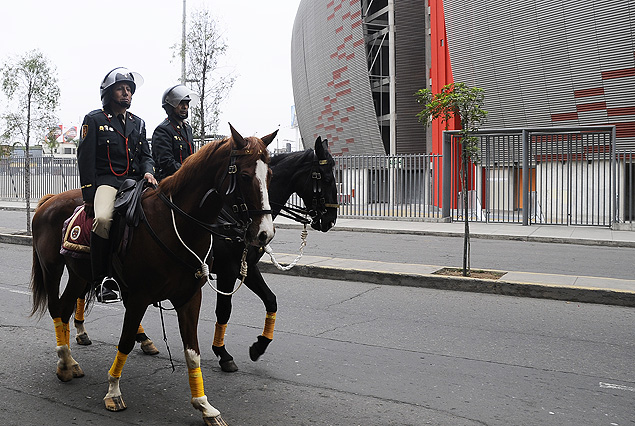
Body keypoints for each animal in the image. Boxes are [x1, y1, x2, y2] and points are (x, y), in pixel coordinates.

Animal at [30, 125, 276, 424]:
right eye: (244, 175)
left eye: (270, 175)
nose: (264, 234)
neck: (177, 225)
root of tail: (49, 200)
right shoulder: (138, 297)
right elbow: (125, 342)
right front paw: (113, 392)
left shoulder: (189, 298)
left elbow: (192, 352)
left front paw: (204, 405)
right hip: (53, 269)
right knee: (56, 309)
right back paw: (65, 362)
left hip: (80, 275)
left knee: (65, 308)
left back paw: (69, 362)